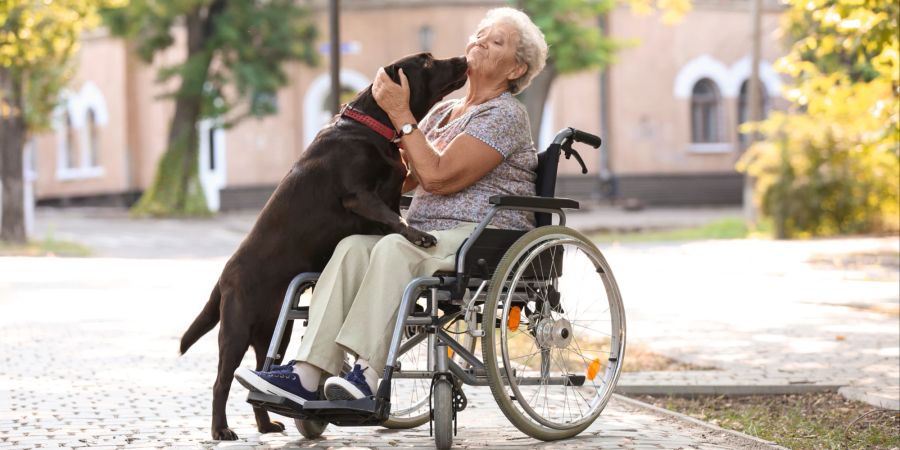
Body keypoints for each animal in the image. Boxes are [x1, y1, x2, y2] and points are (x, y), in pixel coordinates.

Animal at [178, 52, 472, 440]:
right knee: (222, 381)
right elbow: (395, 221)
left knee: (257, 375)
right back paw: (221, 429)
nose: (464, 57)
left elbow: (390, 227)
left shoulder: (388, 198)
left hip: (275, 332)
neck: (374, 128)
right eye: (426, 63)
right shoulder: (360, 196)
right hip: (236, 330)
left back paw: (267, 422)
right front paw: (419, 236)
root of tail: (223, 277)